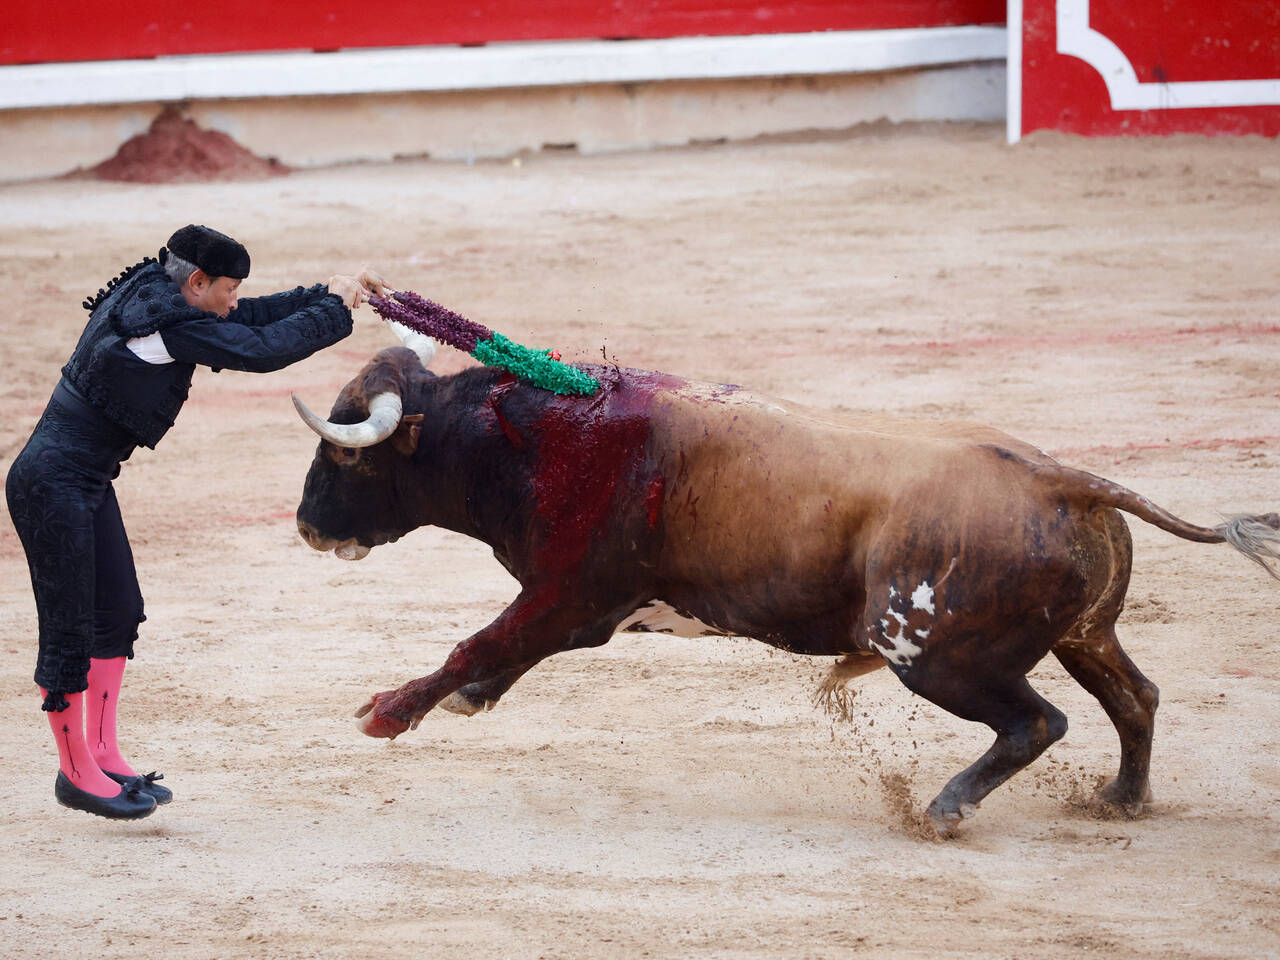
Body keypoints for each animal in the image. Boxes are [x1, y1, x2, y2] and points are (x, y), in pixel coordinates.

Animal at [293, 325, 1280, 834]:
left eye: (345, 453)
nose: (305, 524)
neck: (541, 436)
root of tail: (1061, 477)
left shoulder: (571, 594)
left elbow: (478, 641)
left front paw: (387, 712)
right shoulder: (573, 606)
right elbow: (498, 651)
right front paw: (463, 702)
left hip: (932, 655)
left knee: (1039, 721)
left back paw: (945, 808)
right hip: (1083, 633)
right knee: (1135, 697)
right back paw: (1121, 800)